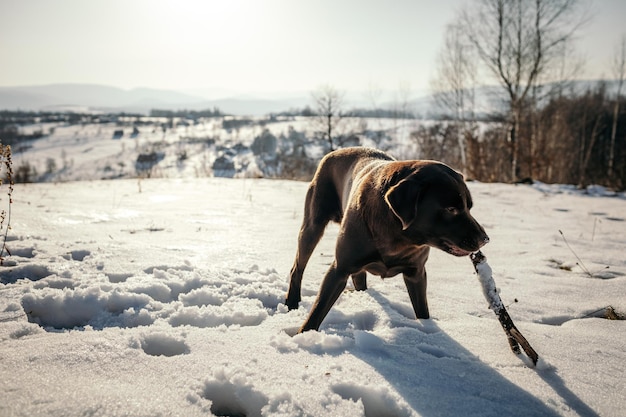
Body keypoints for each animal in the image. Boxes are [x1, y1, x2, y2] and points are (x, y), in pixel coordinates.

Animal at [284, 146, 488, 332]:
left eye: (469, 206)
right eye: (451, 209)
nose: (484, 239)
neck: (397, 236)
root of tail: (334, 152)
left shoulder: (416, 273)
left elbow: (422, 310)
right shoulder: (339, 269)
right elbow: (317, 311)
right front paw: (304, 336)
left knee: (359, 276)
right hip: (312, 226)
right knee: (297, 268)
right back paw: (292, 302)